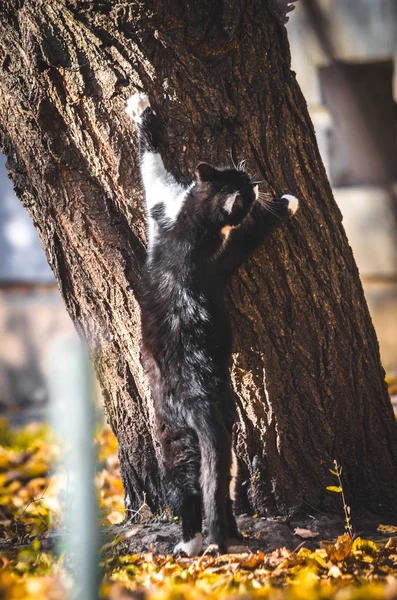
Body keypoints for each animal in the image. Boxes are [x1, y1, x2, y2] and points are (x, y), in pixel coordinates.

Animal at [124, 91, 296, 556]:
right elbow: (248, 233)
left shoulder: (162, 206)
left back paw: (199, 541)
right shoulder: (213, 244)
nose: (256, 180)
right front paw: (286, 203)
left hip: (179, 438)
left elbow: (150, 163)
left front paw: (139, 108)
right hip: (207, 431)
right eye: (243, 183)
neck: (193, 225)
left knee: (197, 489)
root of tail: (193, 397)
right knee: (209, 489)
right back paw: (213, 540)